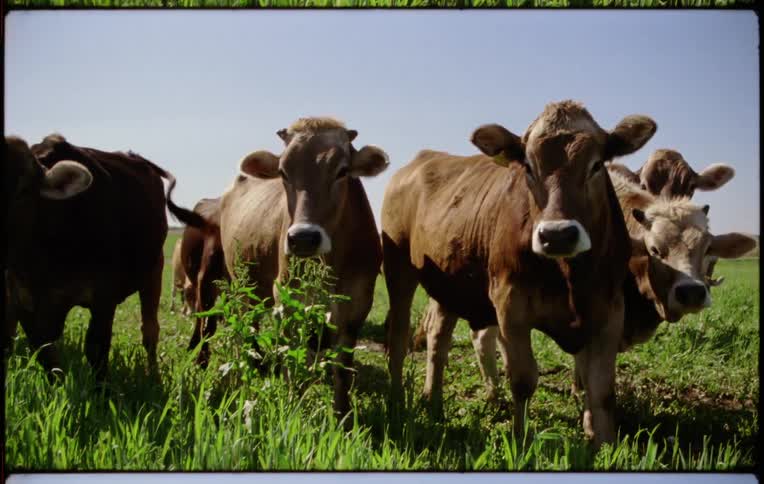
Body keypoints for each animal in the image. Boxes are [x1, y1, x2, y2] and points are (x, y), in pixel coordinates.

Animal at [3, 134, 174, 382]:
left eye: (23, 191)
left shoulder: (104, 296)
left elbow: (96, 350)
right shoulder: (22, 300)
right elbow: (45, 354)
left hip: (154, 271)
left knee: (150, 331)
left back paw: (153, 376)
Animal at [215, 117, 388, 421]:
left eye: (342, 171)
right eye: (283, 172)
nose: (304, 238)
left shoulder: (357, 304)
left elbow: (342, 368)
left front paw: (341, 415)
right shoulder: (287, 298)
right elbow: (292, 362)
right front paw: (293, 407)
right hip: (243, 284)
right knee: (249, 324)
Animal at [382, 100, 657, 447]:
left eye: (596, 166)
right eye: (528, 166)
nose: (558, 235)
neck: (569, 276)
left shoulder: (609, 309)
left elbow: (602, 389)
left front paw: (604, 446)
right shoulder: (510, 305)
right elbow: (524, 379)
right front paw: (519, 440)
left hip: (449, 280)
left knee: (438, 339)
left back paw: (433, 401)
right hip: (398, 268)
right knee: (399, 334)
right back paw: (396, 400)